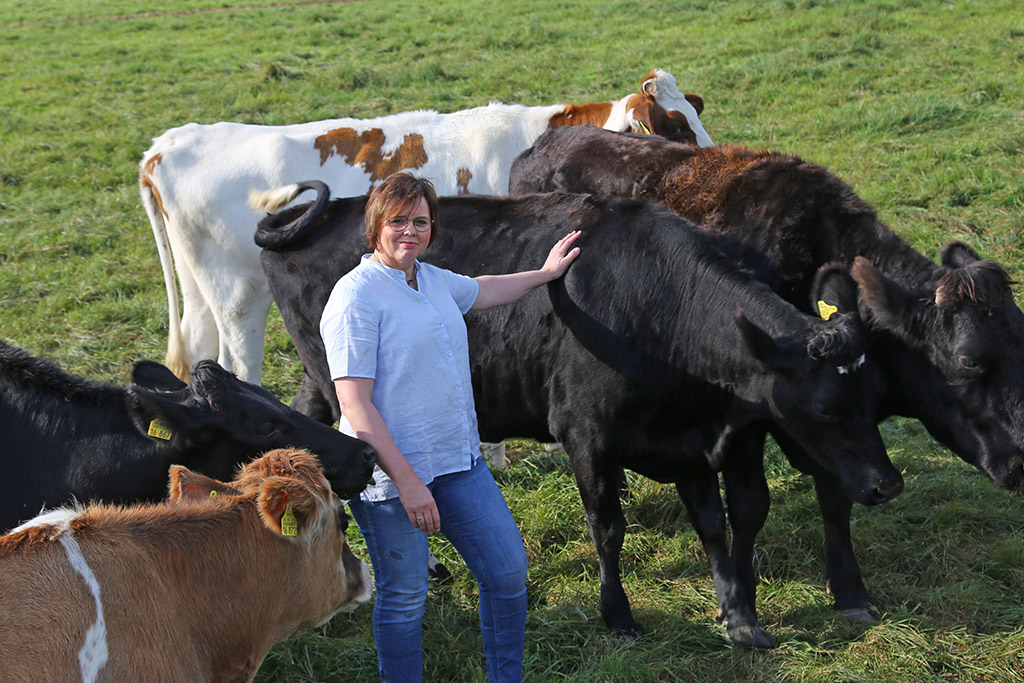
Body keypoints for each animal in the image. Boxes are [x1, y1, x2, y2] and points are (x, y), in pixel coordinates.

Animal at [140, 68, 708, 385]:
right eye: (674, 128)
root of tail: (170, 143)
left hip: (202, 288)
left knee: (198, 344)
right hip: (240, 293)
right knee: (239, 362)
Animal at [251, 183, 901, 647]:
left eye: (874, 398)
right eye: (824, 409)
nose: (887, 484)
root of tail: (333, 211)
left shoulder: (688, 443)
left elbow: (714, 525)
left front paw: (738, 614)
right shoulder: (586, 435)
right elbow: (608, 528)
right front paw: (618, 615)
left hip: (317, 384)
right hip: (341, 387)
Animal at [505, 121, 1024, 618]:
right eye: (968, 359)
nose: (1021, 460)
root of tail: (550, 139)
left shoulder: (836, 425)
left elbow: (835, 497)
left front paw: (850, 590)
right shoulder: (751, 418)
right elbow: (751, 506)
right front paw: (743, 590)